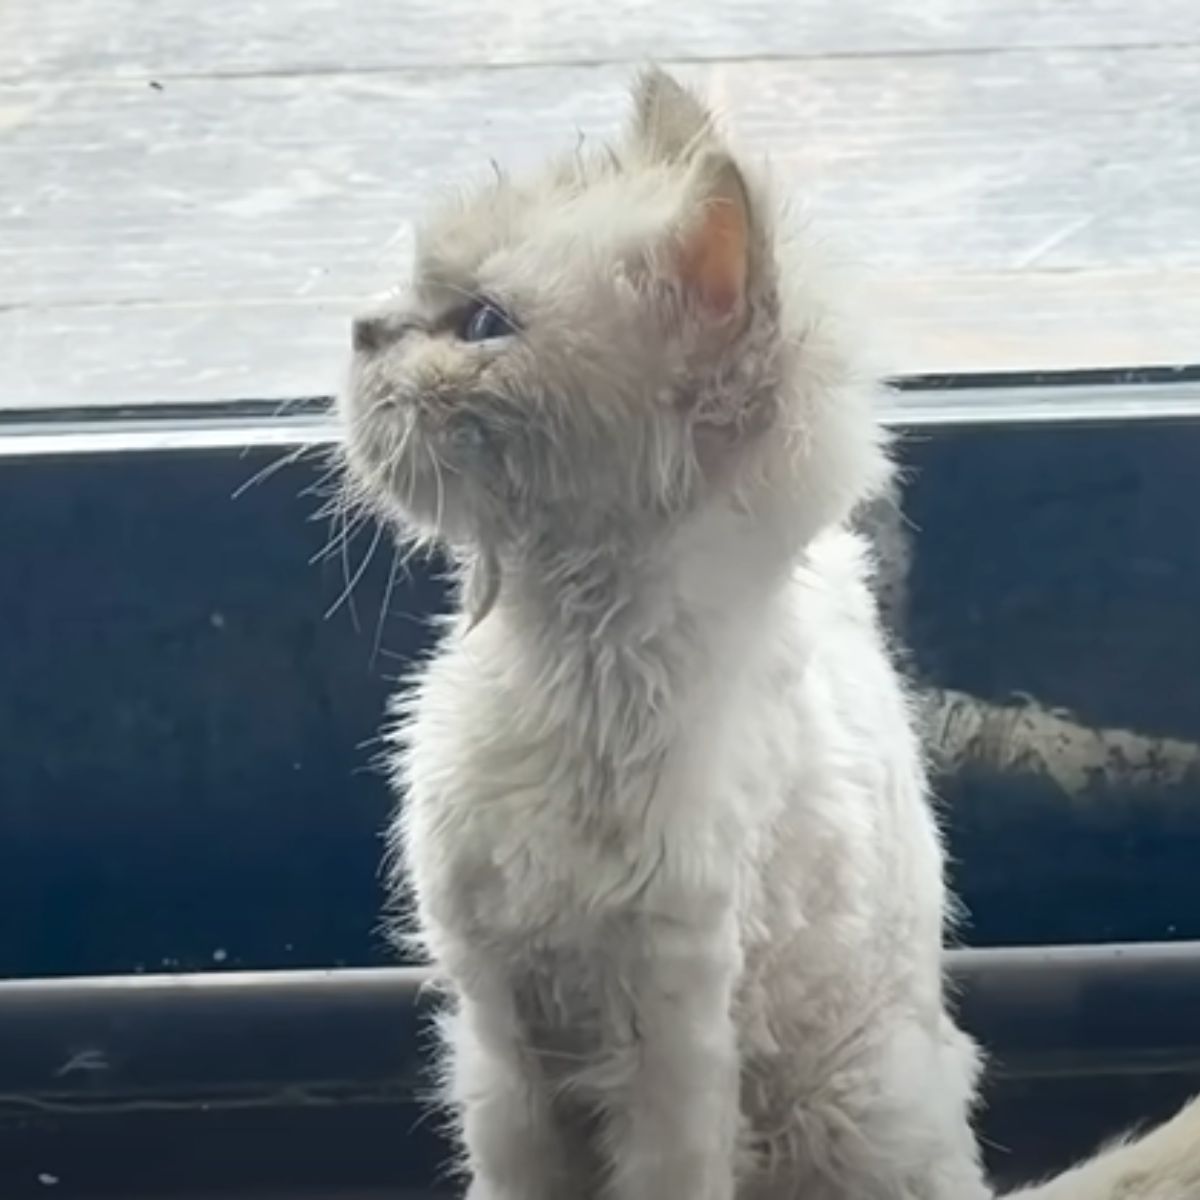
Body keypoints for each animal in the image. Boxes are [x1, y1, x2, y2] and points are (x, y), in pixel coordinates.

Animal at [338, 65, 1200, 1200]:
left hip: (852, 1110)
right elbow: (510, 1174)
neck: (569, 666)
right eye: (410, 287)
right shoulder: (500, 1040)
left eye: (483, 324)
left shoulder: (669, 1049)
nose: (361, 326)